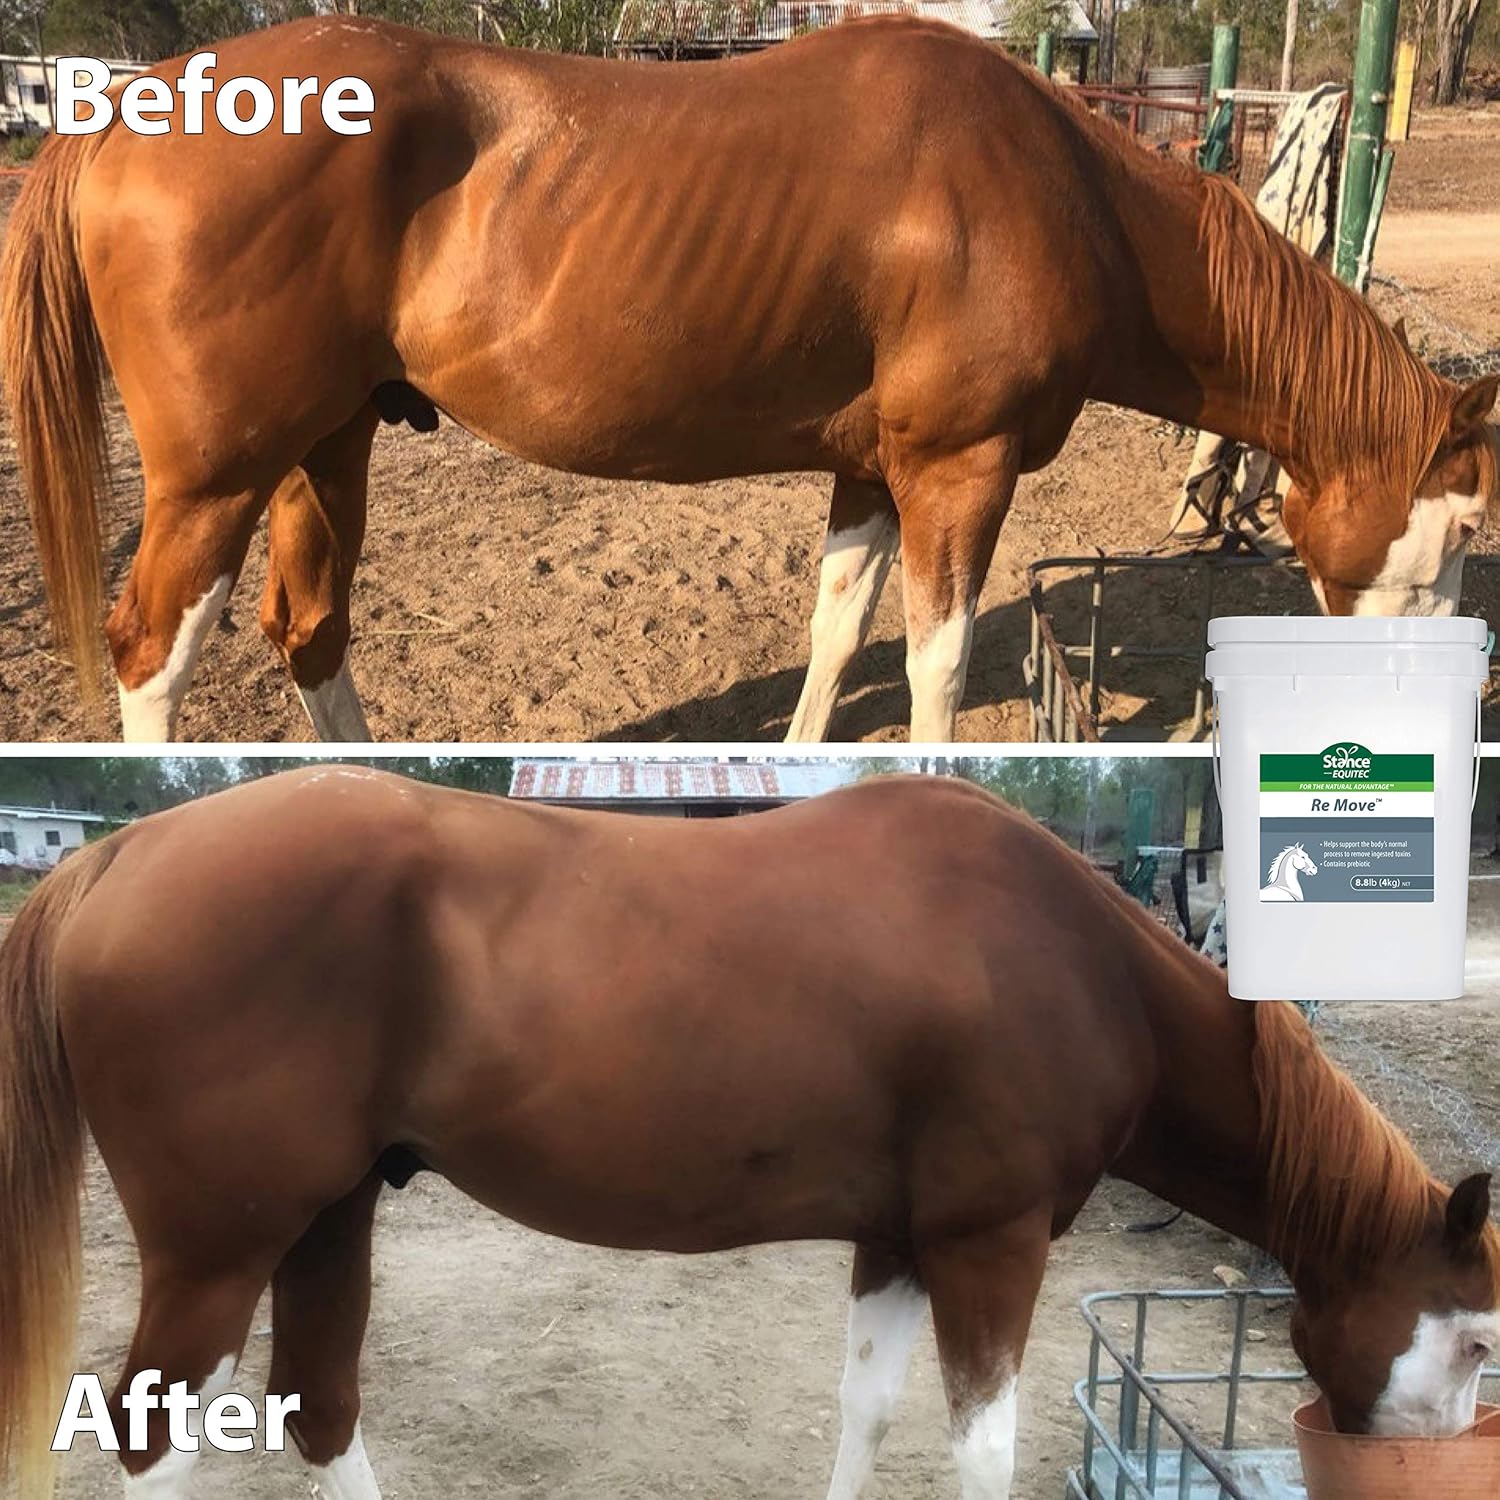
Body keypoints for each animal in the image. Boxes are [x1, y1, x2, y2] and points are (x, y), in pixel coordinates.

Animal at [1, 770, 1496, 1500]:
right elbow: (981, 1449)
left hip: (329, 1215)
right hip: (217, 1251)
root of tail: (120, 857)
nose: (1413, 1469)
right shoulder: (991, 1244)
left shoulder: (899, 1240)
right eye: (1478, 1338)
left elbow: (866, 1407)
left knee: (318, 1408)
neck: (1074, 959)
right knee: (155, 1435)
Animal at [2, 20, 1496, 744]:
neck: (1056, 187)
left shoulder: (871, 472)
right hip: (217, 478)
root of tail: (123, 106)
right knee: (150, 654)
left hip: (329, 446)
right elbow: (936, 664)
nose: (1439, 711)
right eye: (1465, 528)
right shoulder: (960, 468)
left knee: (309, 631)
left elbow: (837, 634)